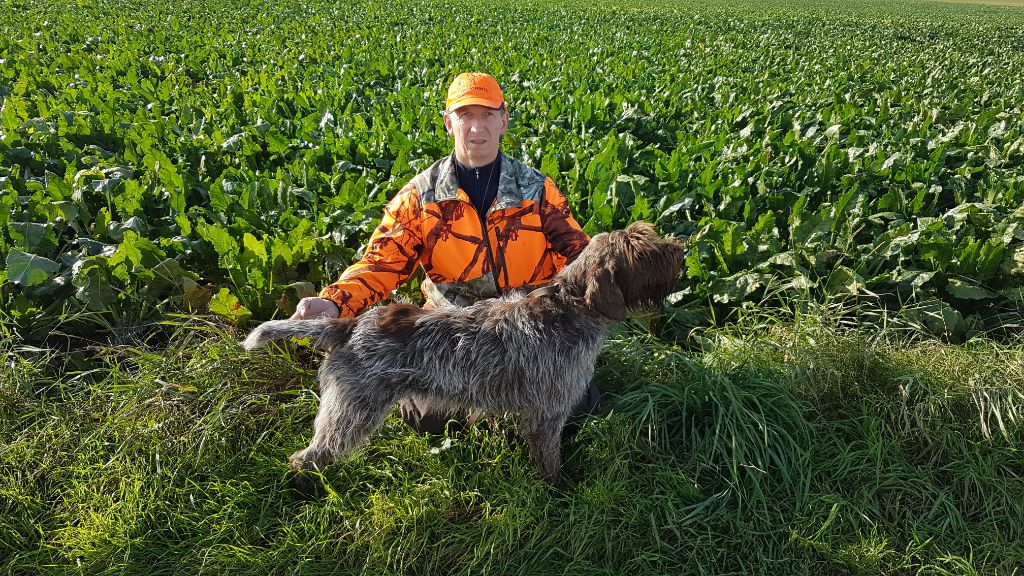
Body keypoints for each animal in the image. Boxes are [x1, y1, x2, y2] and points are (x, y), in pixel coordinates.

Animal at [242, 219, 684, 479]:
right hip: (353, 410)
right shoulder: (547, 414)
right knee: (313, 453)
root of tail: (350, 325)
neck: (569, 308)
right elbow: (550, 464)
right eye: (643, 252)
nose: (680, 250)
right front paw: (559, 493)